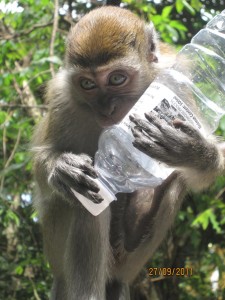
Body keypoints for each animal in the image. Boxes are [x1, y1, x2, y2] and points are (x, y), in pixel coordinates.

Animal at [31, 5, 225, 300]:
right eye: (87, 84)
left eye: (117, 78)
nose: (106, 109)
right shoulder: (63, 99)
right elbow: (43, 169)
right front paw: (62, 169)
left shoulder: (180, 80)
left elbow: (203, 172)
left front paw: (191, 150)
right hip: (57, 250)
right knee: (84, 202)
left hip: (130, 262)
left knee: (175, 181)